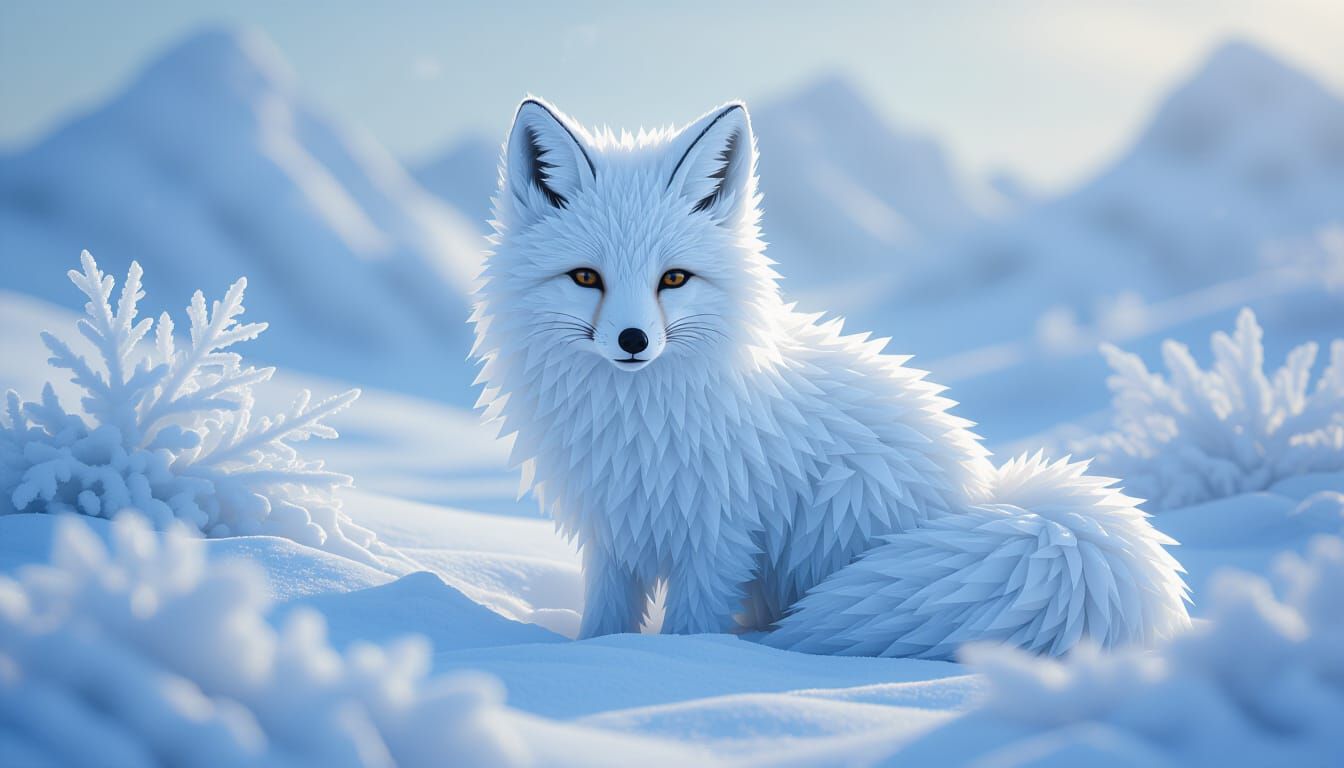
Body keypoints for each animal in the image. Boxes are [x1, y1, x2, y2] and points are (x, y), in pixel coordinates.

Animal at [470, 97, 1191, 658]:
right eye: (585, 277)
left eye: (673, 278)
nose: (633, 341)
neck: (638, 424)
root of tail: (991, 497)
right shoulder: (613, 534)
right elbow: (604, 625)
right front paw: (594, 659)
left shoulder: (719, 537)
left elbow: (689, 629)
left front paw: (686, 664)